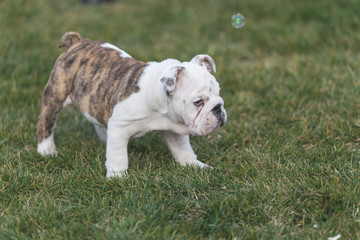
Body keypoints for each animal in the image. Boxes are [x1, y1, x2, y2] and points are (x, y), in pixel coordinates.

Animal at [37, 31, 228, 177]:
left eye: (219, 94)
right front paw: (117, 177)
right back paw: (47, 151)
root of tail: (77, 41)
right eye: (198, 102)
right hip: (56, 93)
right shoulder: (119, 127)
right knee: (46, 122)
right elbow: (118, 156)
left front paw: (194, 165)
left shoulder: (174, 129)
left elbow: (183, 149)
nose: (218, 108)